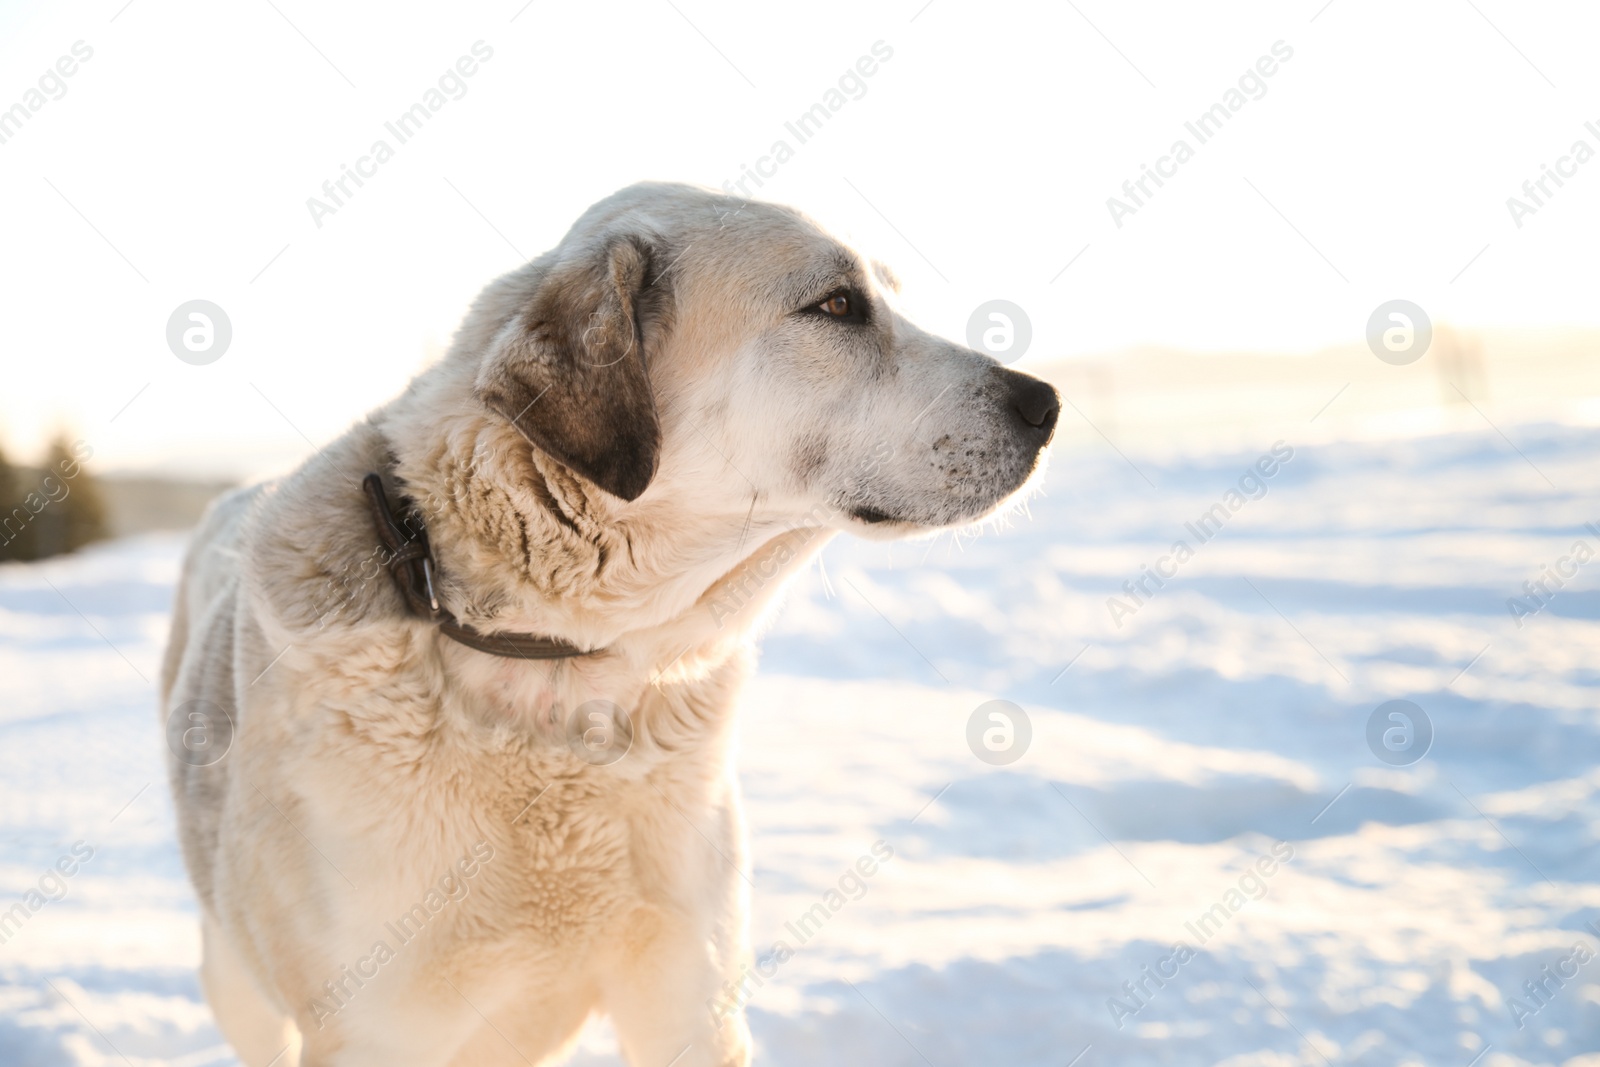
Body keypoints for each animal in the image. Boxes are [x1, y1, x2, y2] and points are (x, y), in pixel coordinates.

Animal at [165, 183, 1062, 1067]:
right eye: (838, 304)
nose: (1046, 402)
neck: (555, 663)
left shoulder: (691, 1001)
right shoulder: (375, 1024)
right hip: (236, 982)